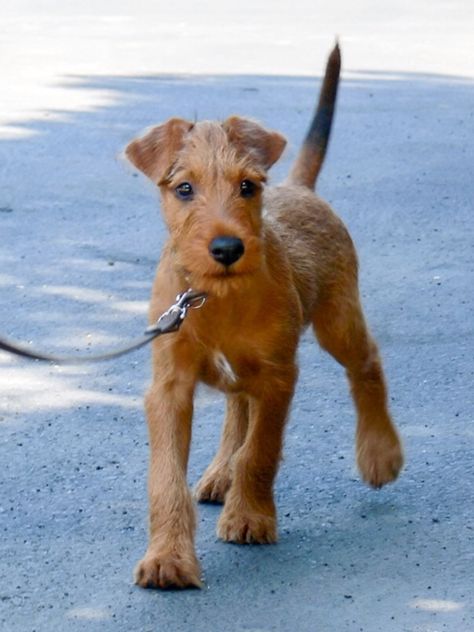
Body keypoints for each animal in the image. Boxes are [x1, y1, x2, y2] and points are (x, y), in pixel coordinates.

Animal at [124, 43, 402, 588]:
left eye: (248, 186)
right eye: (183, 189)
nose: (227, 248)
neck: (213, 298)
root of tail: (299, 187)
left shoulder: (278, 376)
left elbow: (262, 451)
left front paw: (250, 517)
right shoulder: (169, 387)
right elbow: (166, 477)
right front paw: (168, 556)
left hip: (338, 321)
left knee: (367, 364)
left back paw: (380, 452)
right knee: (238, 407)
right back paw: (219, 474)